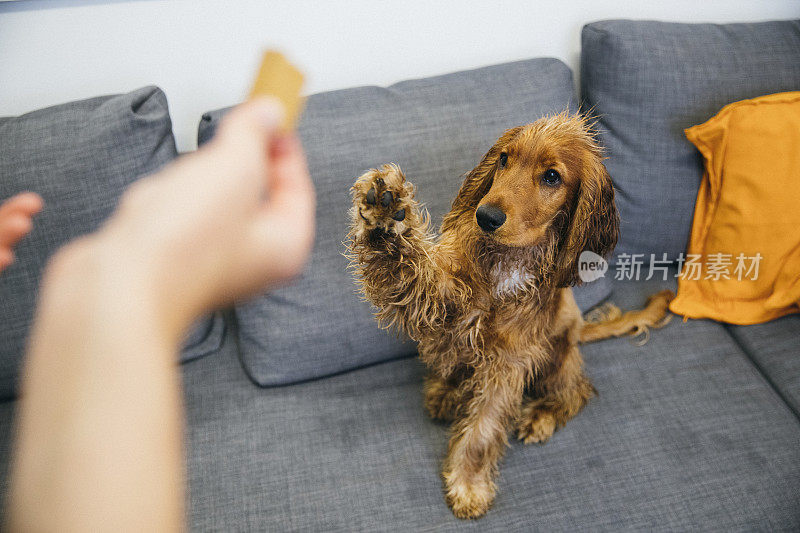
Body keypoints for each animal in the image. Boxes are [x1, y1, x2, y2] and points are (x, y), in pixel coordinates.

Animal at [346, 111, 672, 516]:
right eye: (503, 159)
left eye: (552, 176)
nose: (485, 216)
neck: (507, 265)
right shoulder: (443, 299)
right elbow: (411, 269)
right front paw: (385, 214)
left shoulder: (508, 362)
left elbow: (483, 428)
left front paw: (469, 484)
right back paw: (445, 391)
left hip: (557, 357)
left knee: (578, 391)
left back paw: (541, 417)